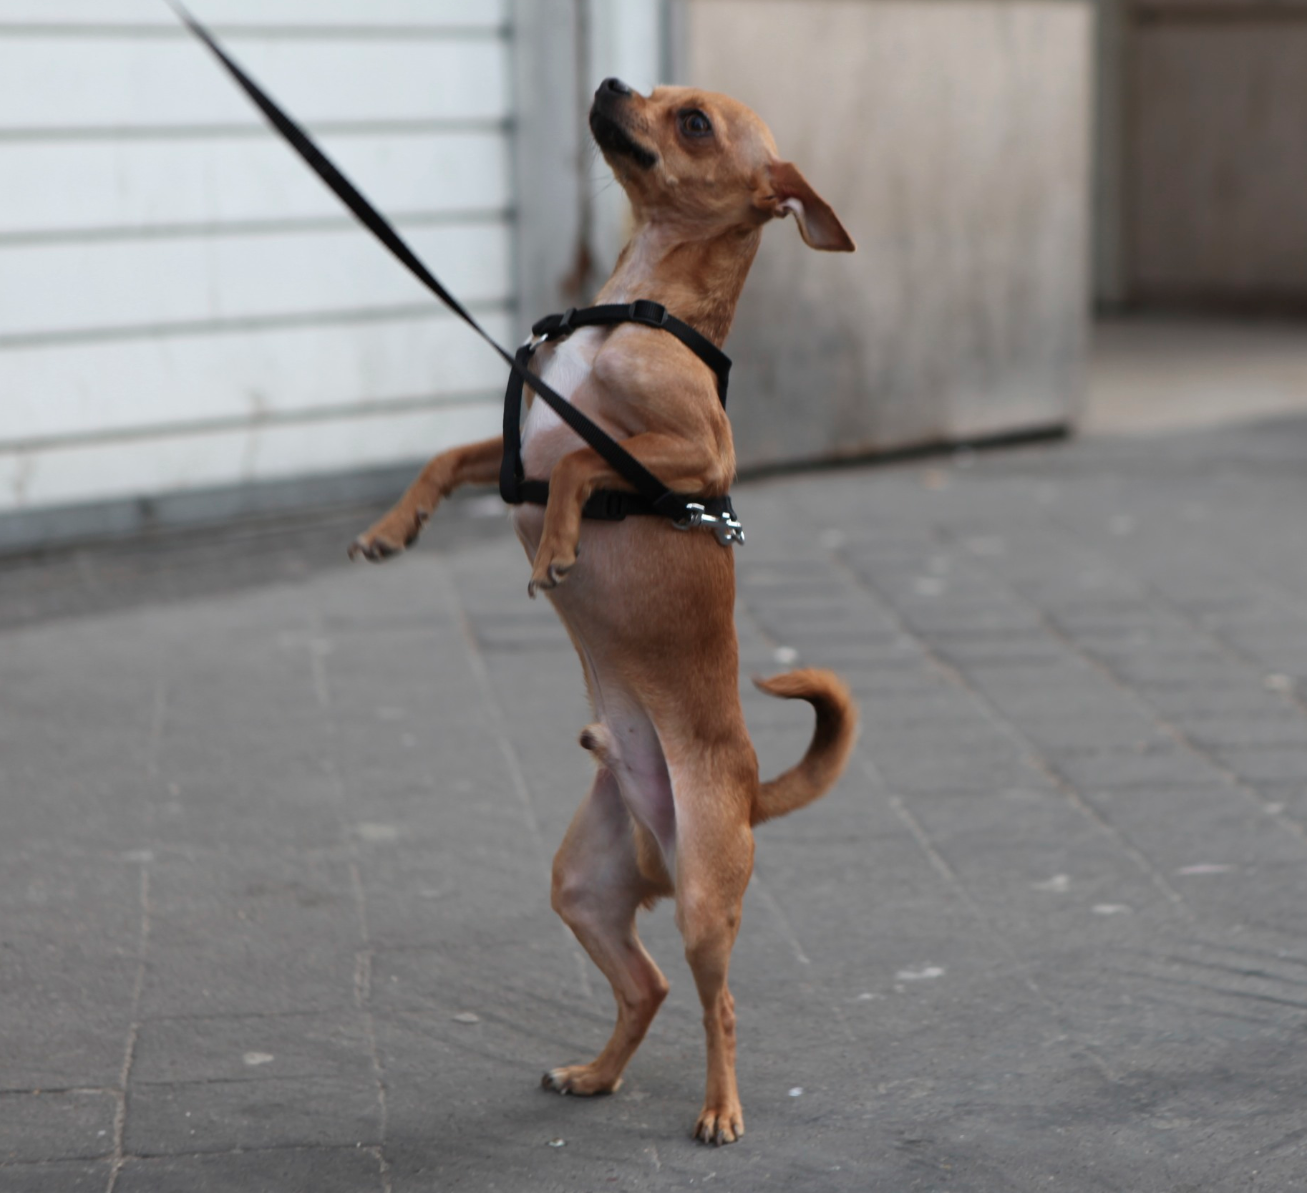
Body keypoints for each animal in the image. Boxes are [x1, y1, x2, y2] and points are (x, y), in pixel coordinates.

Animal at [352, 76, 857, 1144]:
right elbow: (451, 456)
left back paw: (719, 1109)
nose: (614, 84)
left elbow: (588, 461)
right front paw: (391, 526)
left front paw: (558, 547)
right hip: (583, 888)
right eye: (659, 95)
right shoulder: (515, 456)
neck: (634, 301)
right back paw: (596, 1073)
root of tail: (744, 792)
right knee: (648, 986)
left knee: (719, 1000)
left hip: (705, 900)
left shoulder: (695, 461)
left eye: (694, 122)